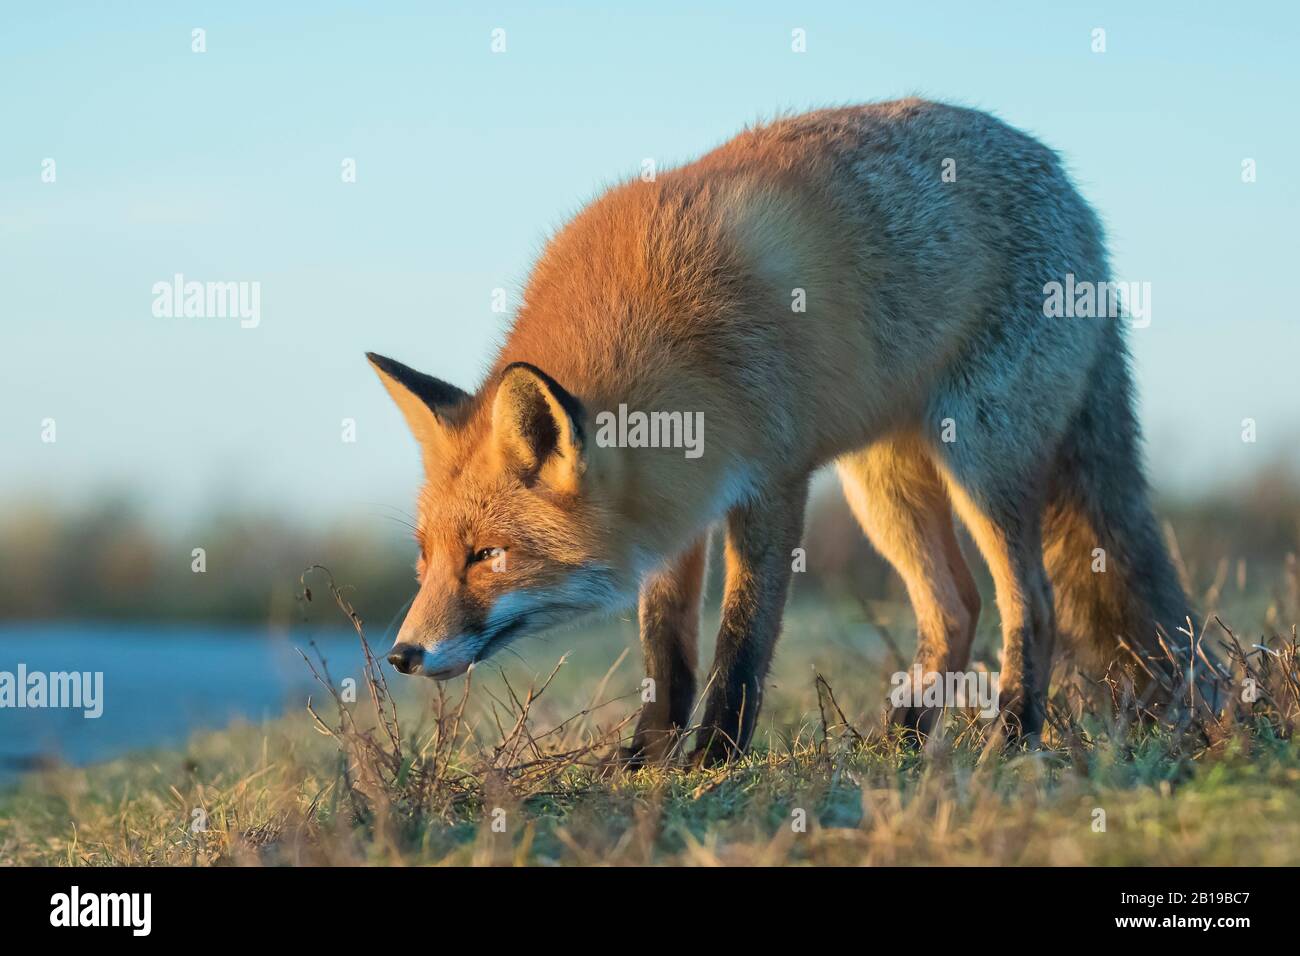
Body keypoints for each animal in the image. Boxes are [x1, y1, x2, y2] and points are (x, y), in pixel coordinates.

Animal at [368, 98, 1195, 766]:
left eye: (487, 556)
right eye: (426, 557)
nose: (403, 654)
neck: (669, 344)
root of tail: (1068, 184)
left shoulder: (772, 478)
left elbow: (741, 635)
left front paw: (713, 756)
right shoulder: (678, 505)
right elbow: (666, 644)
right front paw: (647, 755)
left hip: (980, 461)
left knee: (1032, 603)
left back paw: (1011, 738)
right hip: (883, 487)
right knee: (956, 606)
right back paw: (899, 745)